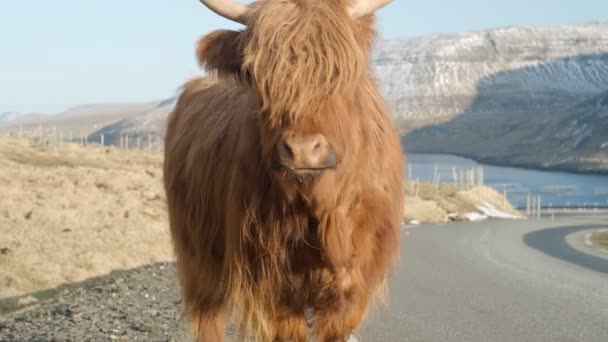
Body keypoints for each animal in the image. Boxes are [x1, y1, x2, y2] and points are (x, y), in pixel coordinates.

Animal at [164, 0, 406, 340]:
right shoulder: (273, 288)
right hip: (198, 262)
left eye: (345, 71)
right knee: (207, 318)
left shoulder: (352, 290)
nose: (302, 149)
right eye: (254, 74)